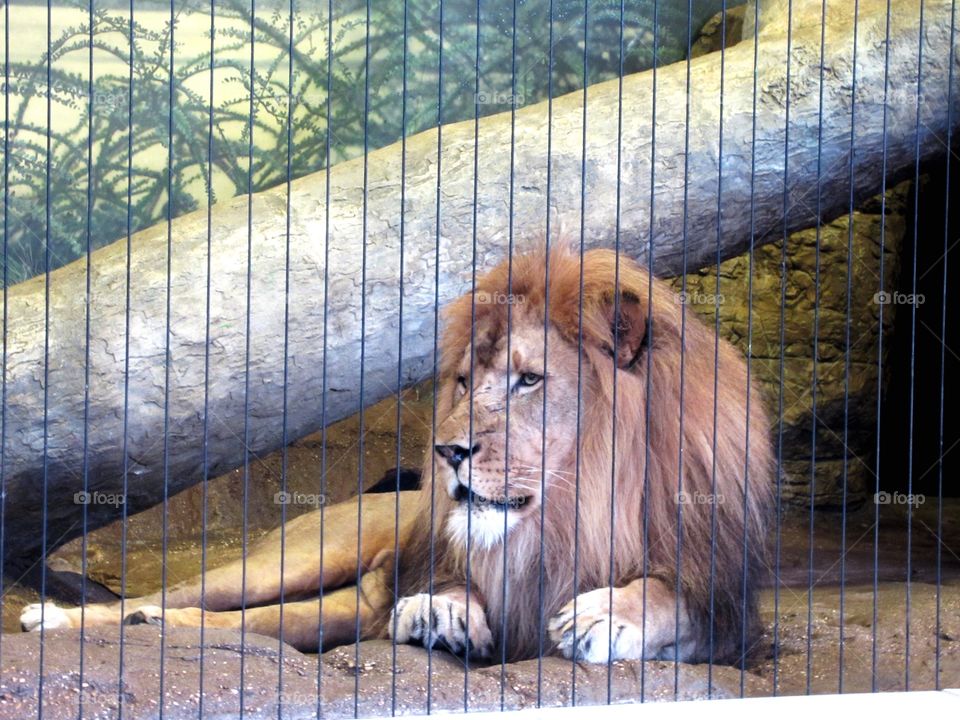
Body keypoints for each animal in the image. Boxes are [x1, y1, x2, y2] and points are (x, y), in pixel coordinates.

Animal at [21, 246, 773, 666]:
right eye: (465, 381)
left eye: (529, 380)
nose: (448, 451)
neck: (572, 513)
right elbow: (456, 583)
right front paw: (443, 611)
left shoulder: (731, 614)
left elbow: (671, 600)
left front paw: (605, 614)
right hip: (299, 561)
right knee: (184, 598)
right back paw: (63, 617)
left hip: (335, 608)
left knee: (232, 623)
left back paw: (147, 627)